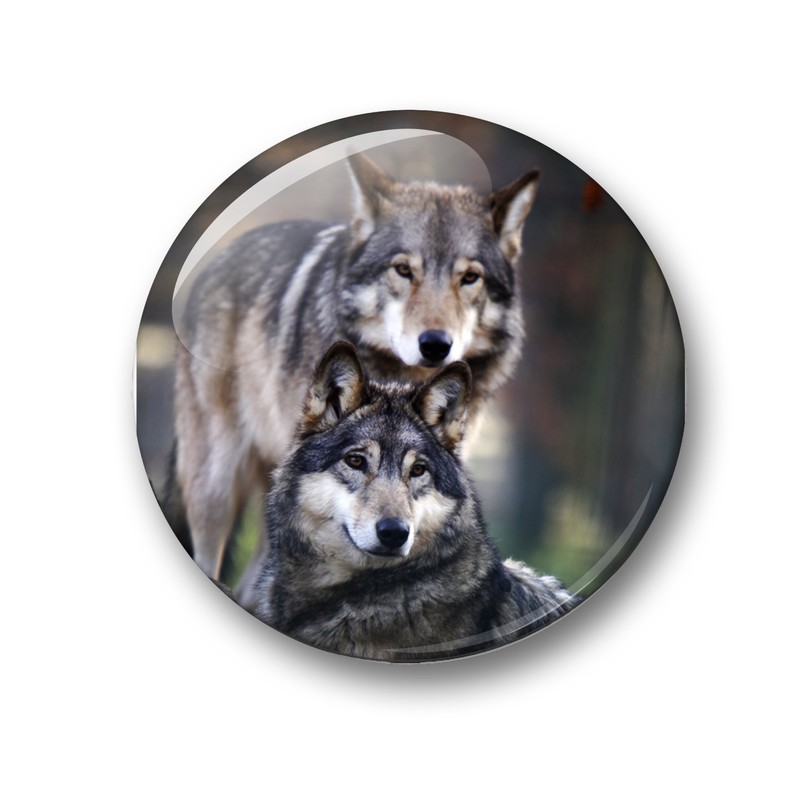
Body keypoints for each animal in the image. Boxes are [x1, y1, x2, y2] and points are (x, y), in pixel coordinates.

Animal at [173, 153, 540, 599]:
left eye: (470, 278)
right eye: (403, 270)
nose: (436, 344)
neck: (399, 377)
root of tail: (218, 258)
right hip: (217, 484)